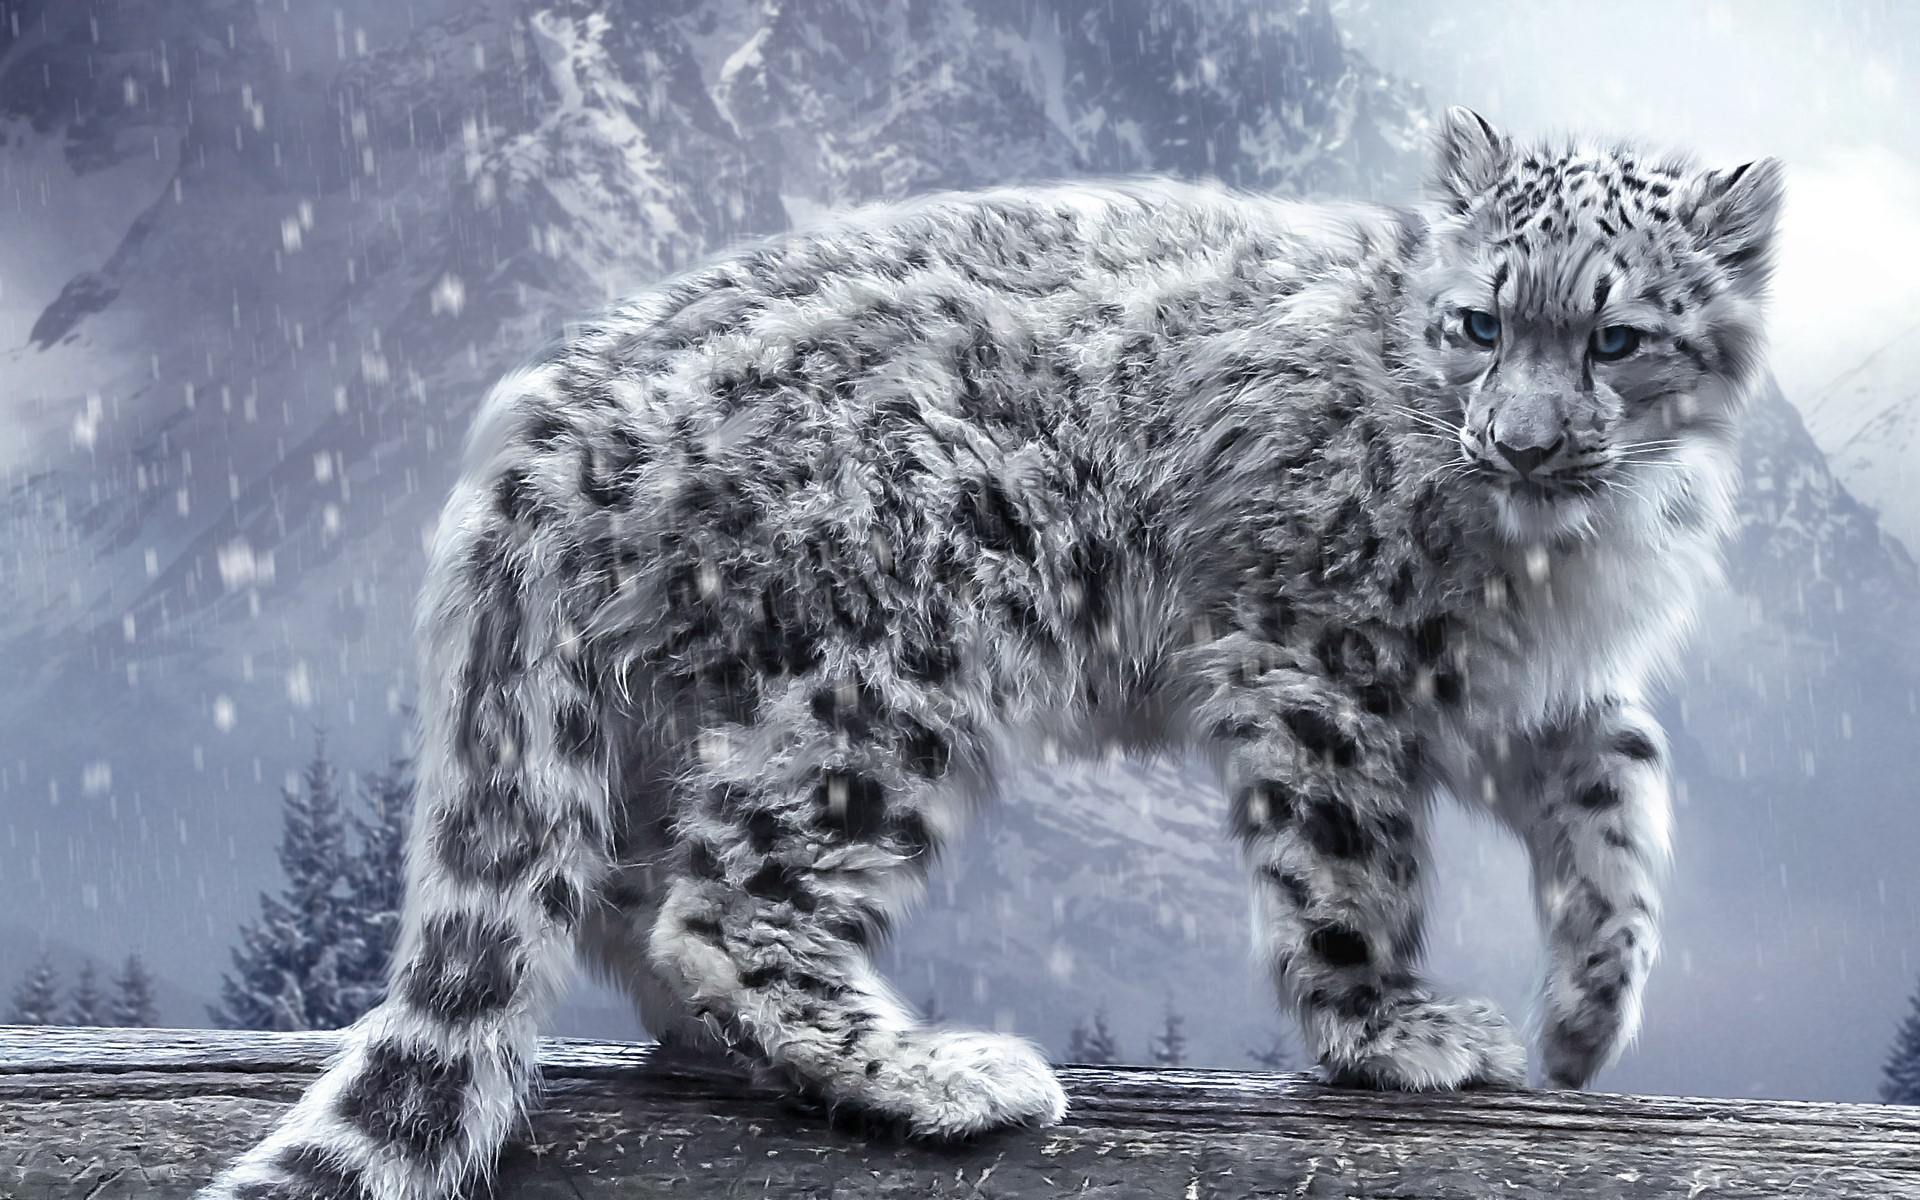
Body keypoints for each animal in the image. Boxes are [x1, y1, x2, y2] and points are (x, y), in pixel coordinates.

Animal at [200, 109, 1782, 1198]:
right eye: (1477, 323)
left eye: (1618, 337)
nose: (1519, 441)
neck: (1564, 558)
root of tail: (545, 424)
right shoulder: (1322, 660)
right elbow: (1351, 863)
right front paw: (1394, 1030)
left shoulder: (1537, 689)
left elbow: (1621, 795)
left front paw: (1588, 1017)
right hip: (897, 659)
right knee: (719, 899)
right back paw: (942, 1074)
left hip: (669, 702)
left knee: (619, 890)